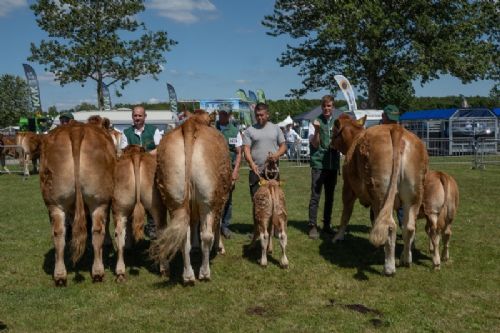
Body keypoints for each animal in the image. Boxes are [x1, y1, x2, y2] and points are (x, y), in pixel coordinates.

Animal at [39, 120, 115, 284]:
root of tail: (76, 129)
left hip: (54, 202)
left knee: (58, 232)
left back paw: (60, 274)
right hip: (99, 201)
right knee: (97, 230)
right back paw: (98, 271)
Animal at [112, 144, 168, 278]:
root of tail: (136, 154)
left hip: (119, 207)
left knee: (119, 233)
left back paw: (120, 272)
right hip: (158, 207)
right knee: (161, 231)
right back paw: (164, 268)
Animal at [150, 112, 232, 282]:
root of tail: (189, 125)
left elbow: (194, 224)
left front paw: (194, 247)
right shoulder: (221, 199)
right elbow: (217, 223)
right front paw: (219, 247)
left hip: (175, 199)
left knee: (182, 237)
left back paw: (188, 275)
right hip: (208, 200)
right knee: (206, 235)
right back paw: (204, 273)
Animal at [332, 114, 430, 274]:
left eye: (333, 130)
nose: (330, 144)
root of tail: (396, 129)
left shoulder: (348, 188)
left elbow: (346, 214)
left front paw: (338, 237)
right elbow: (373, 219)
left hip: (380, 194)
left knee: (390, 226)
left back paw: (389, 267)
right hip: (414, 194)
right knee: (409, 227)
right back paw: (405, 260)